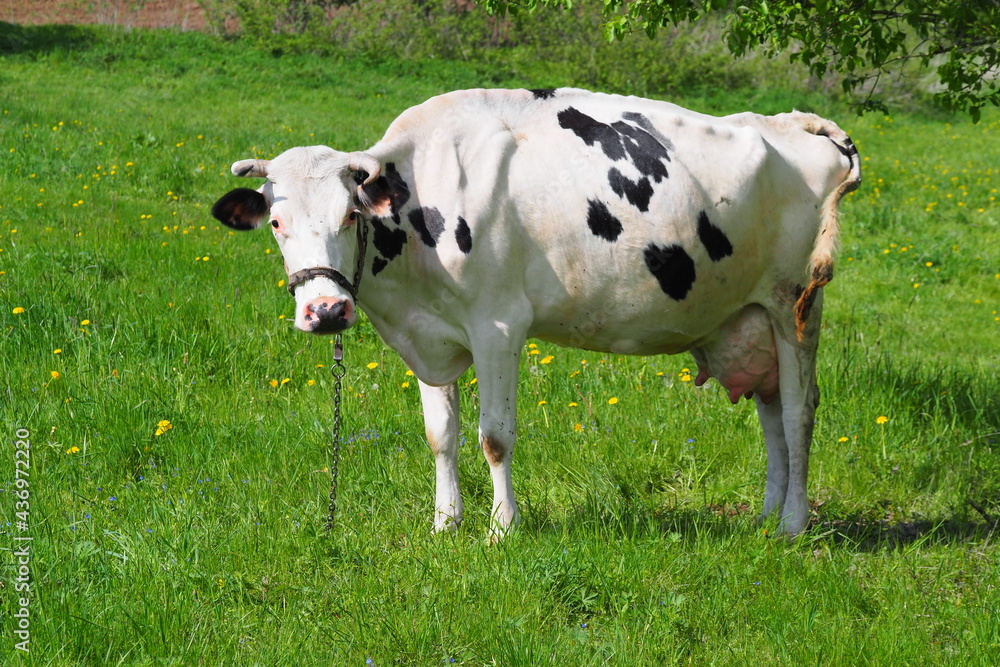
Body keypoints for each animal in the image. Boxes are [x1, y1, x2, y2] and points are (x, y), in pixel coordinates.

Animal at [211, 87, 860, 536]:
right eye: (276, 222)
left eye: (350, 215)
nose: (325, 310)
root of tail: (792, 122)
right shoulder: (430, 337)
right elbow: (440, 434)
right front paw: (445, 524)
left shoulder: (498, 327)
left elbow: (494, 436)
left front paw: (502, 529)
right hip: (749, 320)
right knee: (771, 416)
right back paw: (765, 518)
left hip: (795, 307)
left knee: (798, 412)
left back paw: (794, 524)